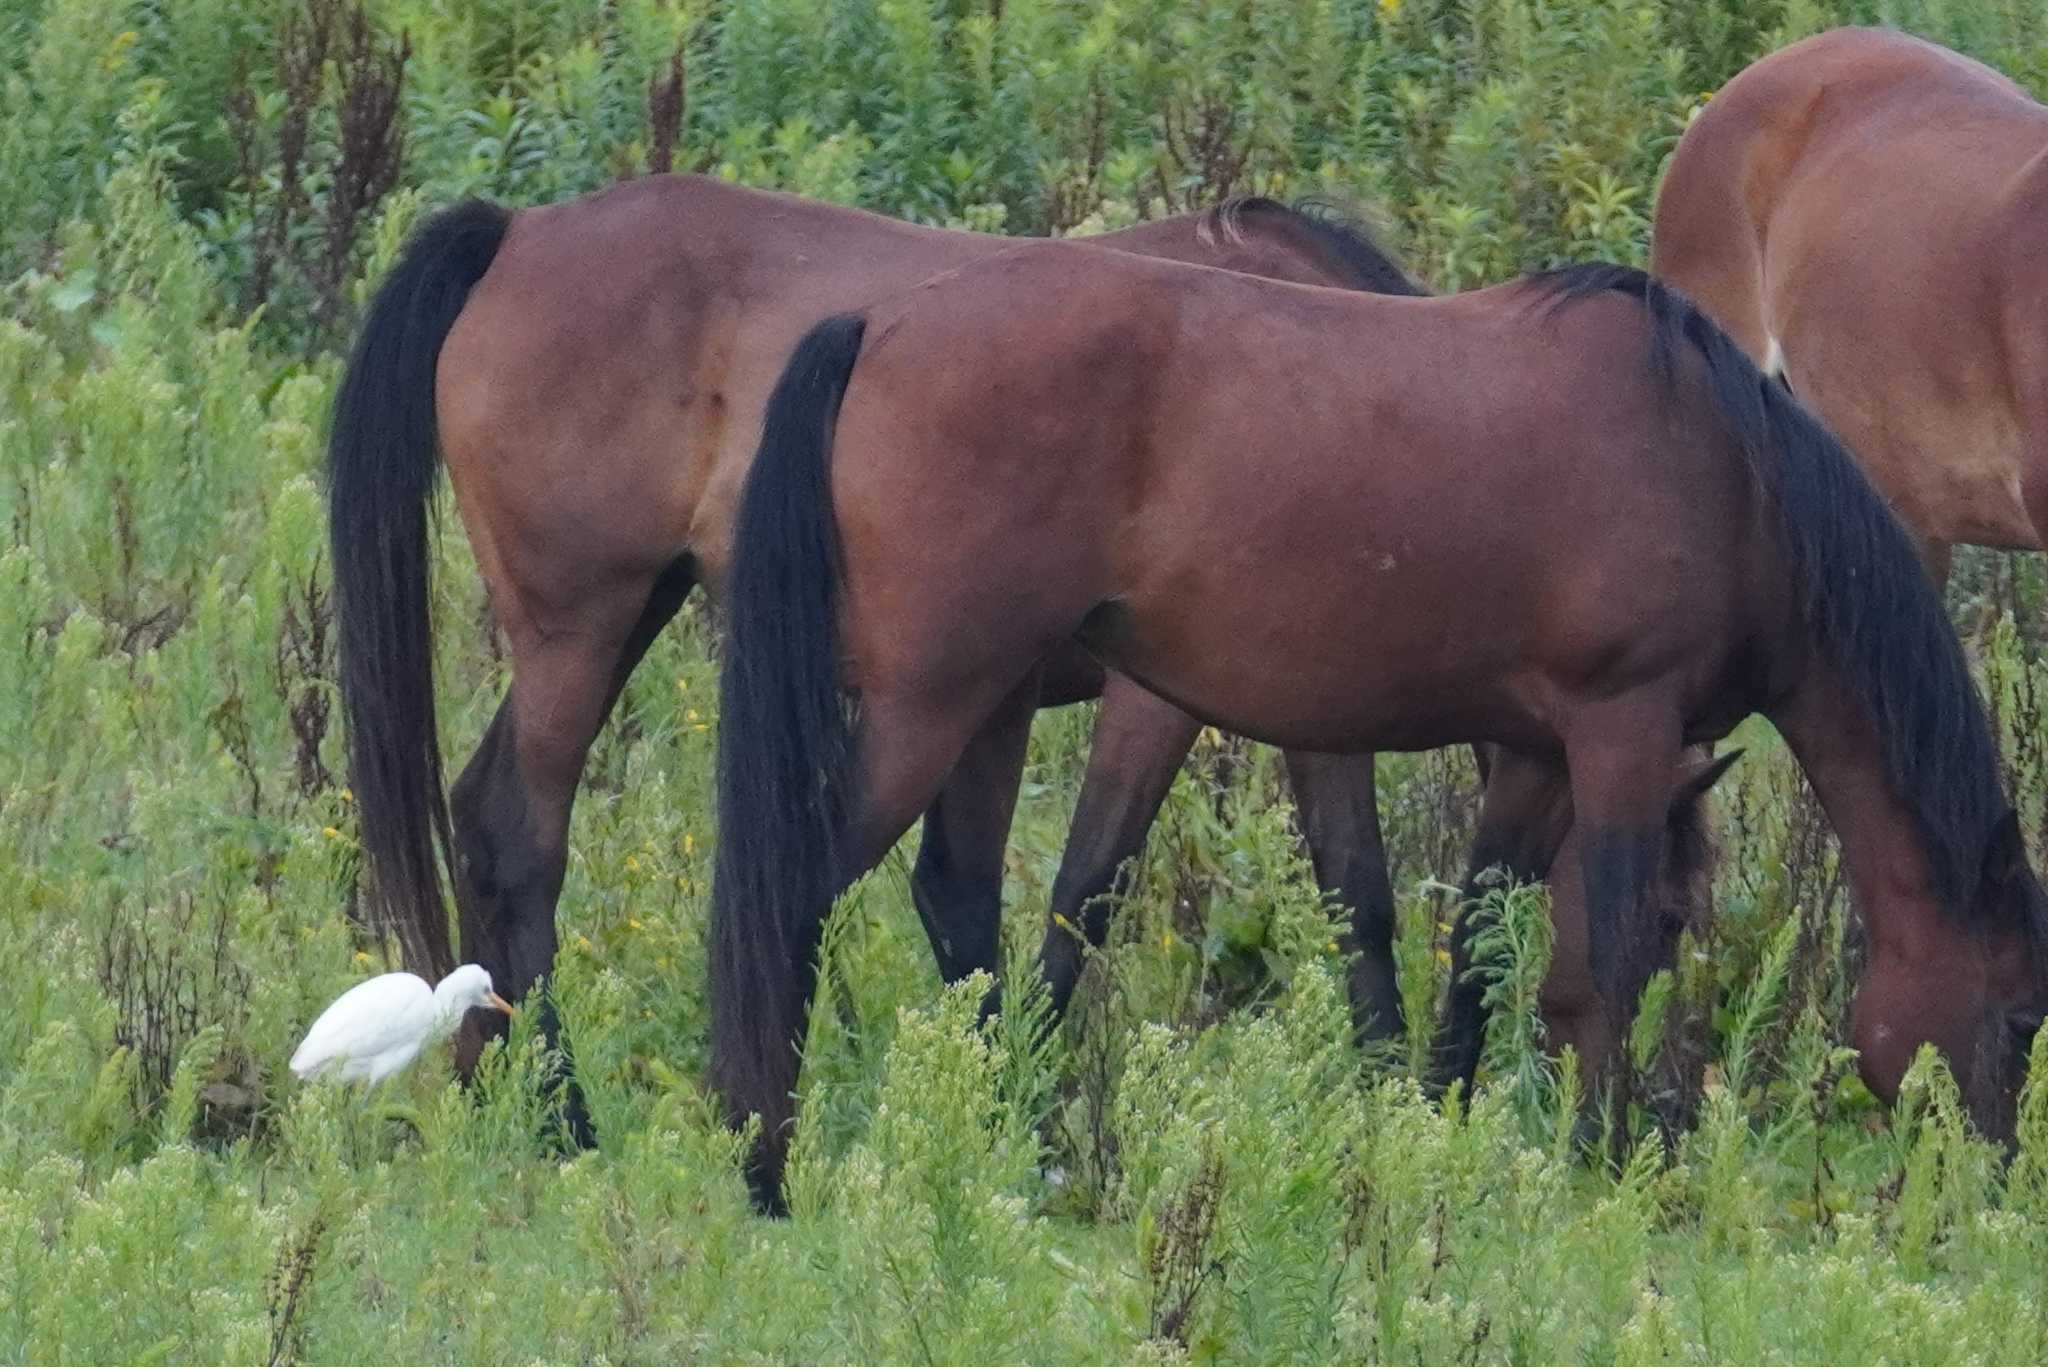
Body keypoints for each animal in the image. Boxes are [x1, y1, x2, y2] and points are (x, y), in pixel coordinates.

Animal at [327, 171, 1433, 1139]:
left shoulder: (1317, 691)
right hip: (583, 629)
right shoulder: (1150, 701)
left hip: (625, 619)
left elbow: (1357, 894)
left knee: (482, 818)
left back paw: (497, 1090)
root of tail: (517, 231)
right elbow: (1086, 889)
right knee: (522, 838)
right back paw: (563, 1115)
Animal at [716, 242, 2048, 1205]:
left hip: (989, 705)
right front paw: (1602, 1163)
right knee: (794, 891)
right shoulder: (1619, 729)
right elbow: (1603, 955)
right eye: (2019, 1008)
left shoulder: (1536, 753)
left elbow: (1480, 944)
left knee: (956, 896)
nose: (1988, 1188)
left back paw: (1013, 1136)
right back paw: (763, 1164)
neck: (1723, 474)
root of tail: (876, 326)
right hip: (928, 707)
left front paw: (1440, 1124)